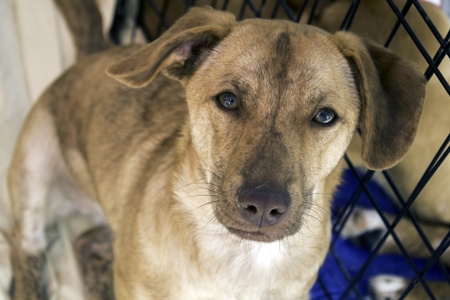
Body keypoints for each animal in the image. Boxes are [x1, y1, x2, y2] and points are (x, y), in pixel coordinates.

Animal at [8, 5, 428, 298]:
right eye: (227, 100)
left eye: (325, 116)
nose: (264, 205)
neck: (239, 260)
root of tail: (94, 53)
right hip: (32, 175)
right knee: (25, 252)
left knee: (86, 243)